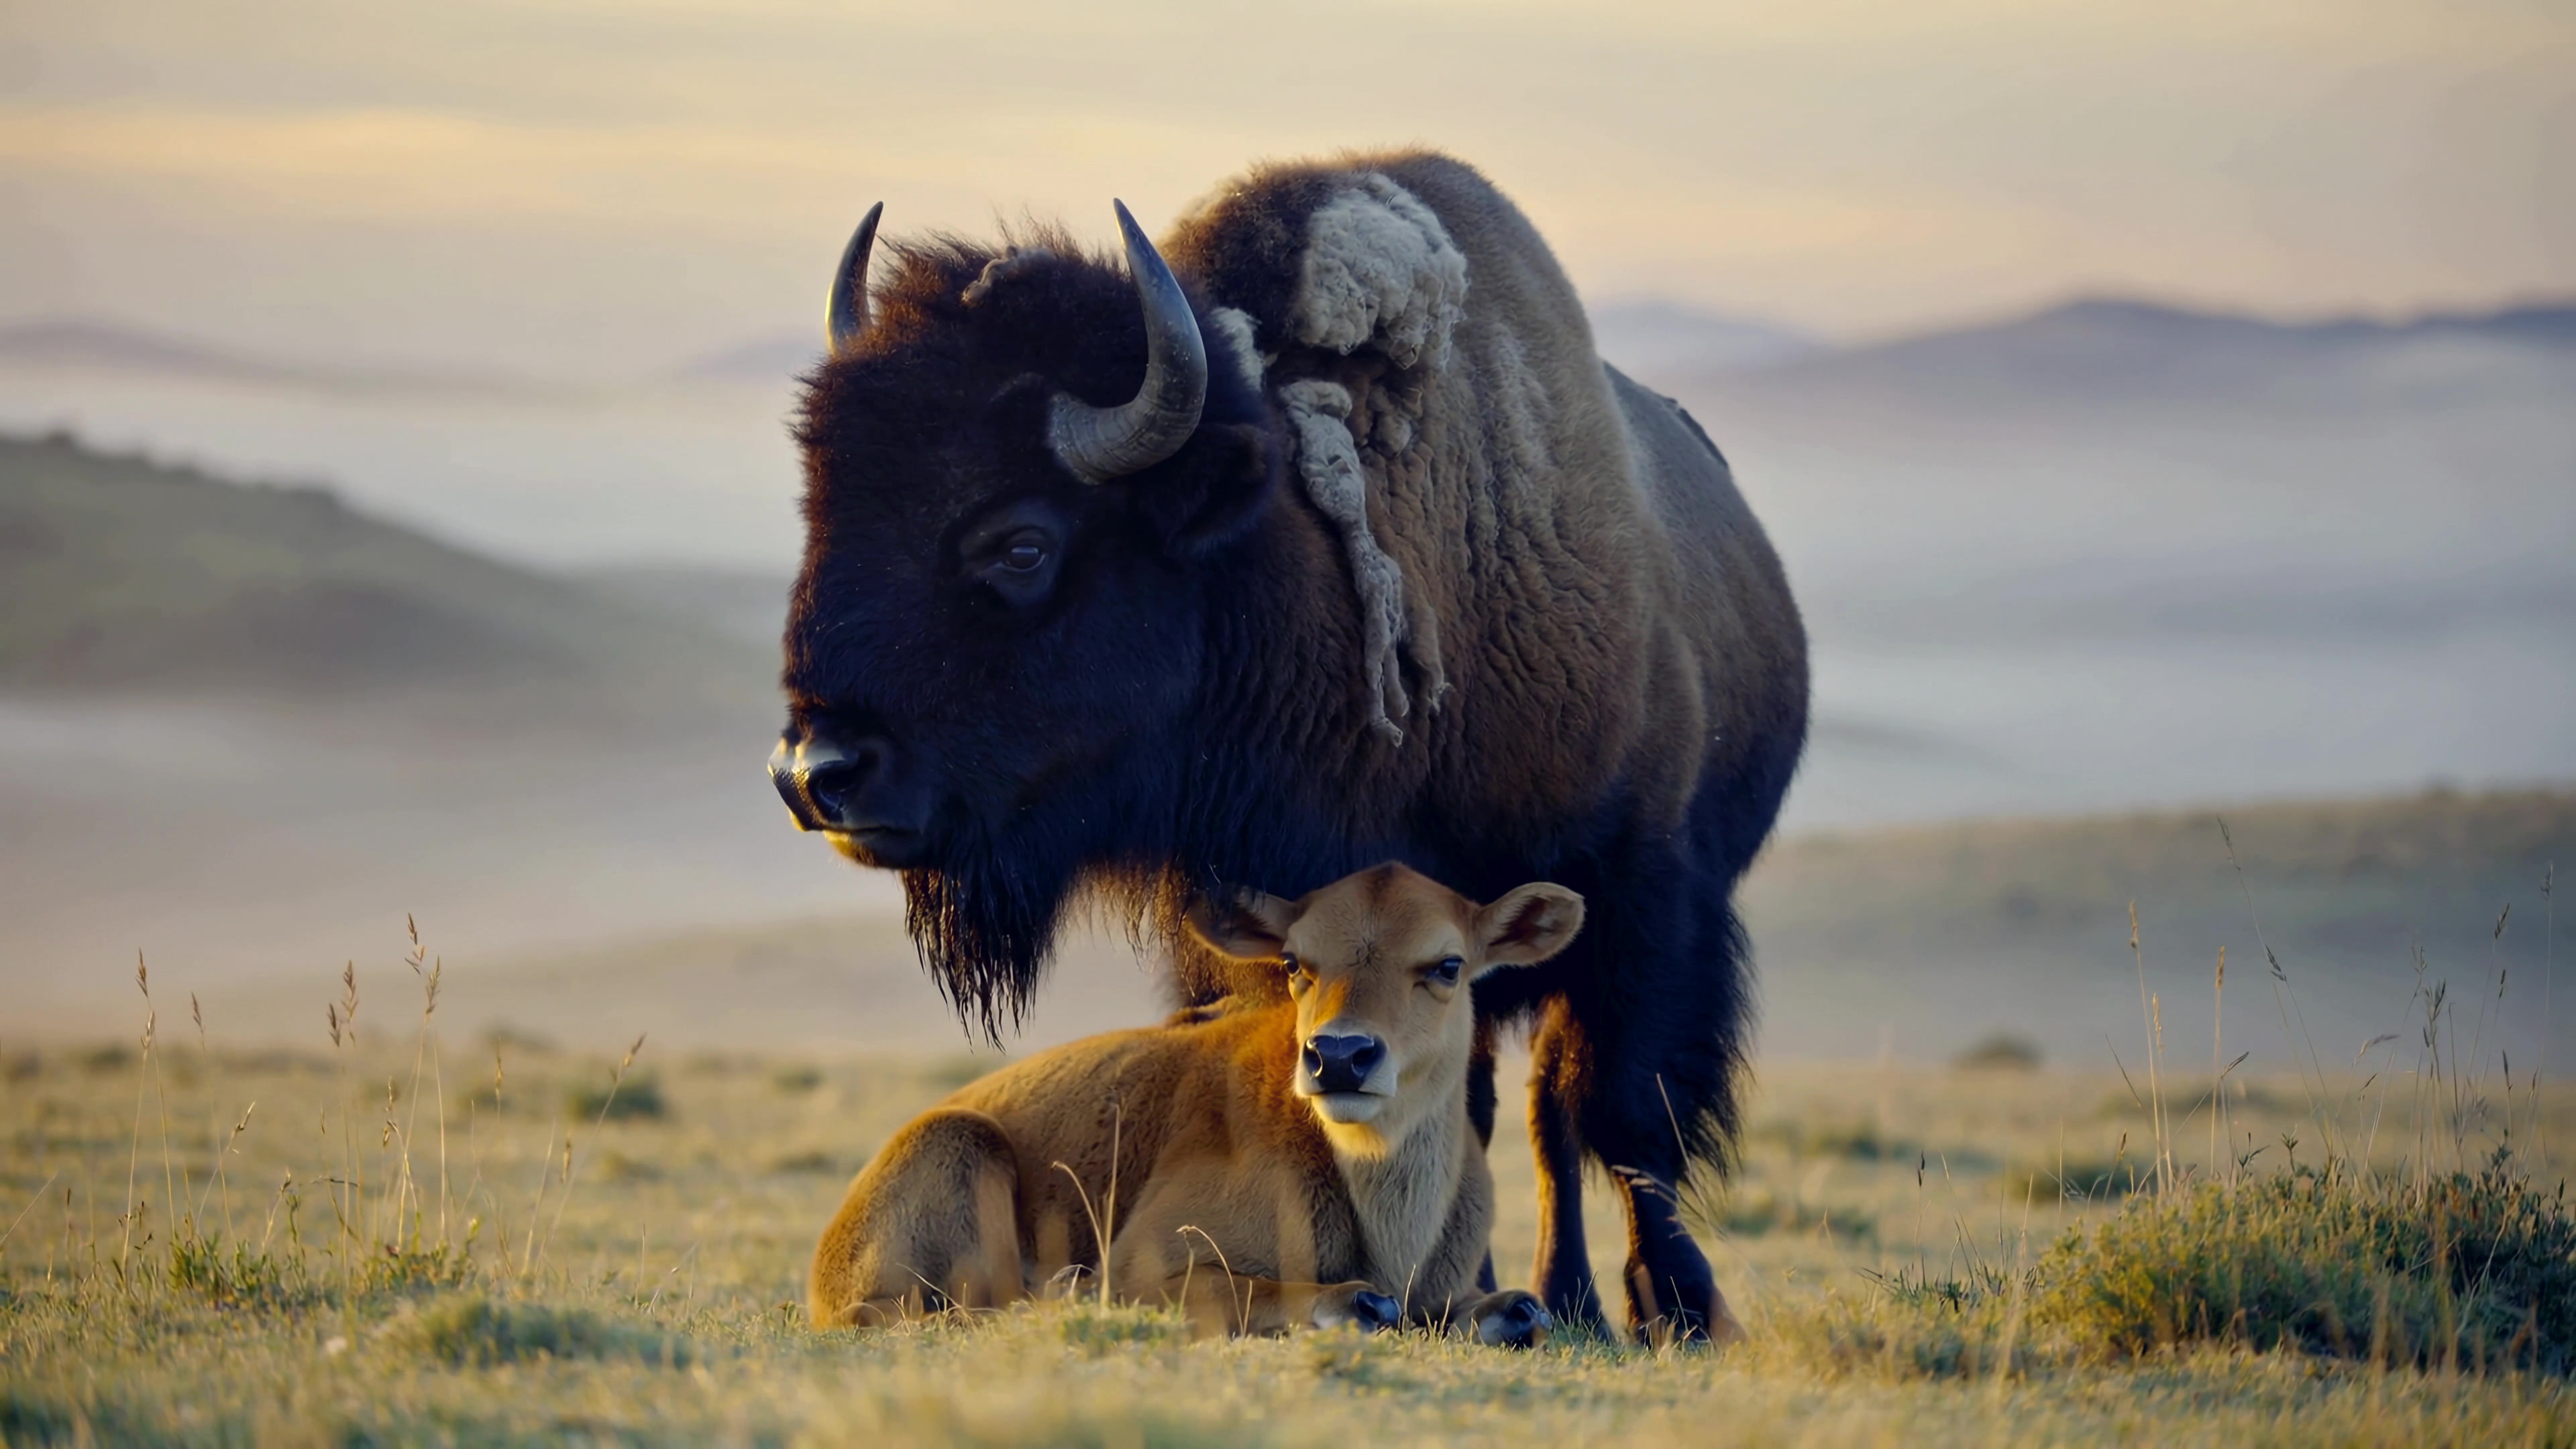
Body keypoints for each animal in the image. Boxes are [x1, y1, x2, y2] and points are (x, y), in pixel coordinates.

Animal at [809, 862, 1576, 1348]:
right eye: (1294, 963)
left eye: (1448, 965)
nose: (1340, 1056)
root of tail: (827, 1265)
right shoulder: (1145, 1267)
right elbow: (1283, 1293)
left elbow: (1506, 1309)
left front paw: (1506, 1314)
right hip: (960, 1150)